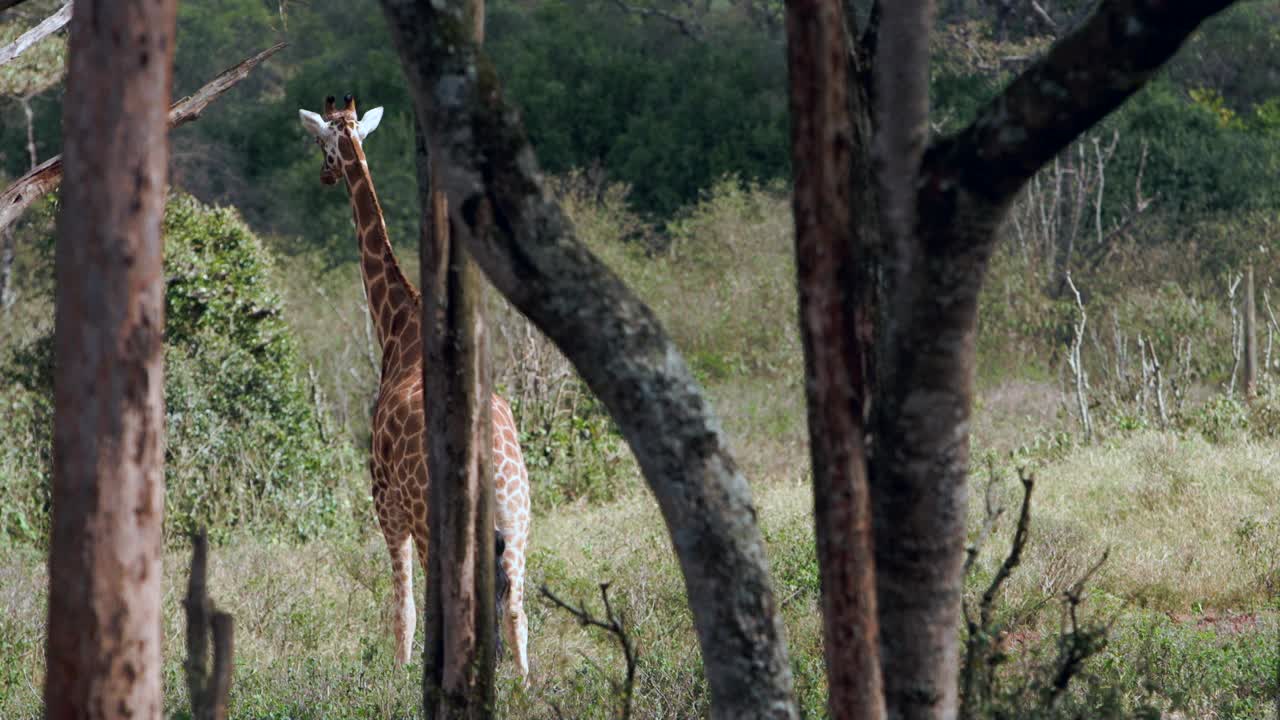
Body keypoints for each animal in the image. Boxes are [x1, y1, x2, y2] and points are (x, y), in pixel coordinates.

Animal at [299, 95, 529, 676]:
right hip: (519, 520)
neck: (399, 321)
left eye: (321, 143)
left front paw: (397, 673)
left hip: (436, 524)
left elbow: (401, 605)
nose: (324, 176)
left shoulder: (384, 502)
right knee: (516, 607)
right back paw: (525, 684)